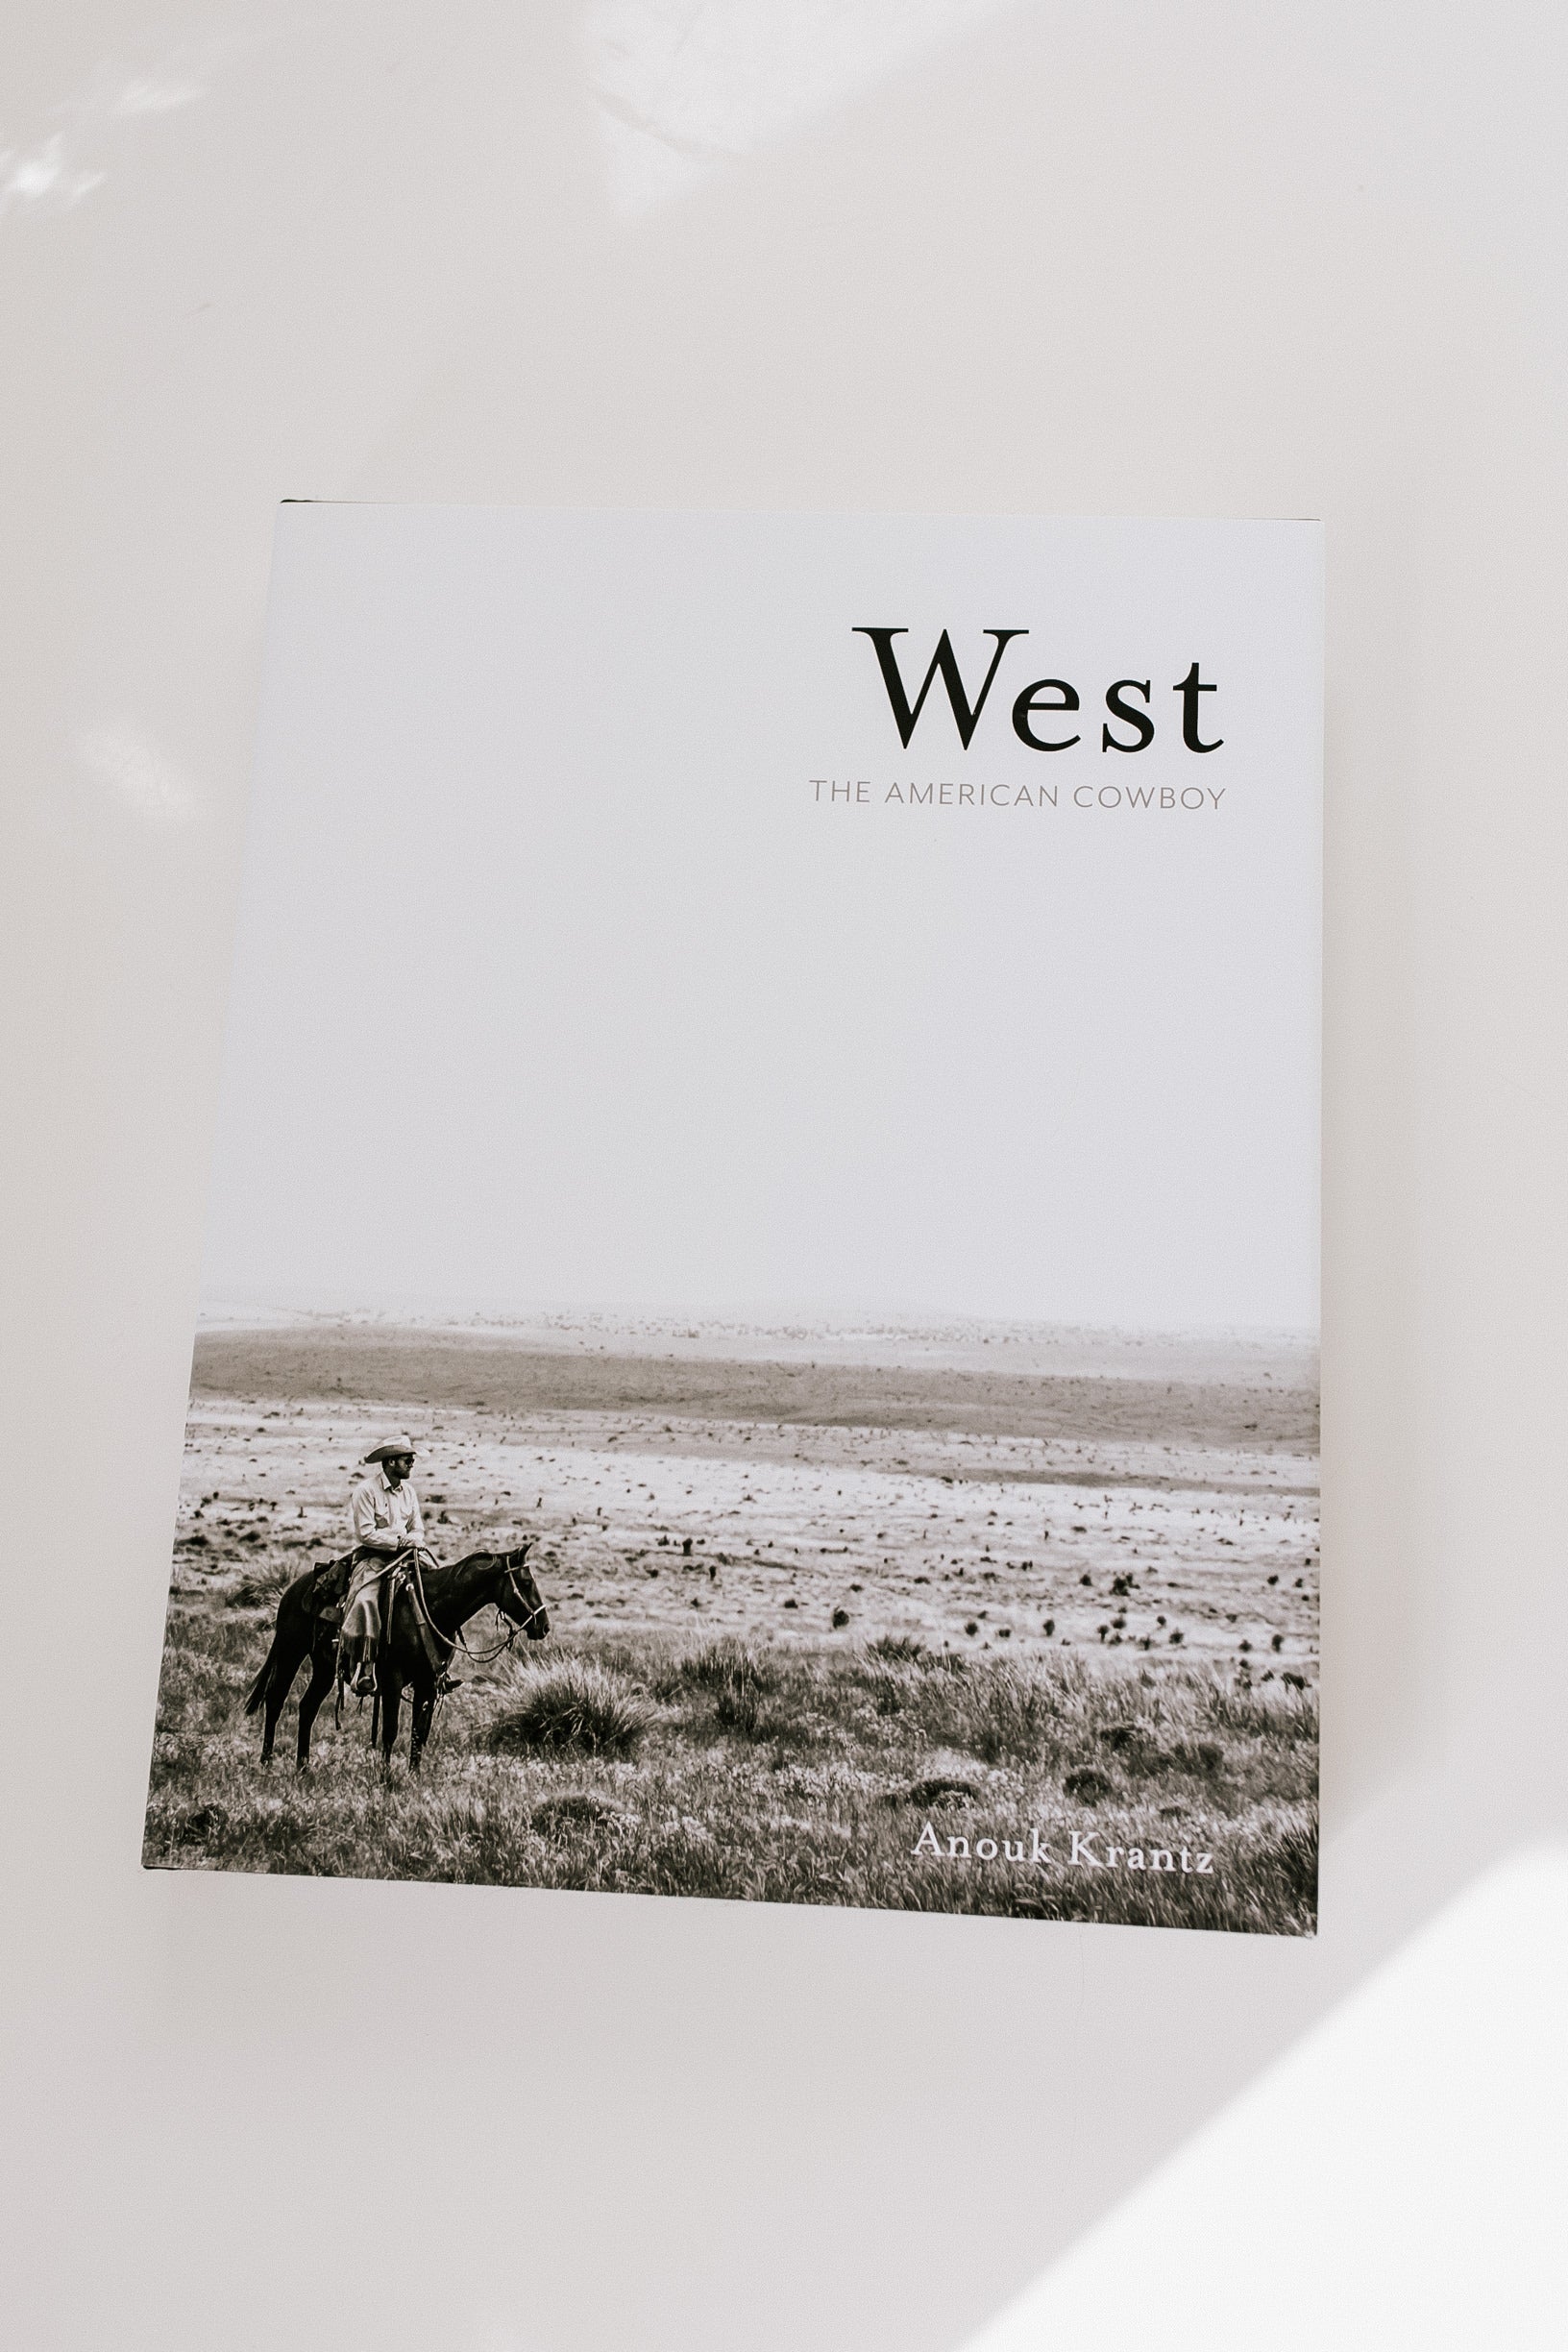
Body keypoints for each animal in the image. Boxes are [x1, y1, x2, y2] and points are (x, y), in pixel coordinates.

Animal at [243, 1545, 549, 1770]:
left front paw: (412, 1777)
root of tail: (294, 1589)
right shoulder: (392, 1678)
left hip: (324, 1667)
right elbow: (391, 1729)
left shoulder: (428, 1681)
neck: (432, 1608)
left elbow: (418, 1732)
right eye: (526, 1581)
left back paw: (303, 1767)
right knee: (276, 1698)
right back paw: (267, 1762)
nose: (544, 1625)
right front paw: (386, 1779)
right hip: (290, 1651)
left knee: (307, 1707)